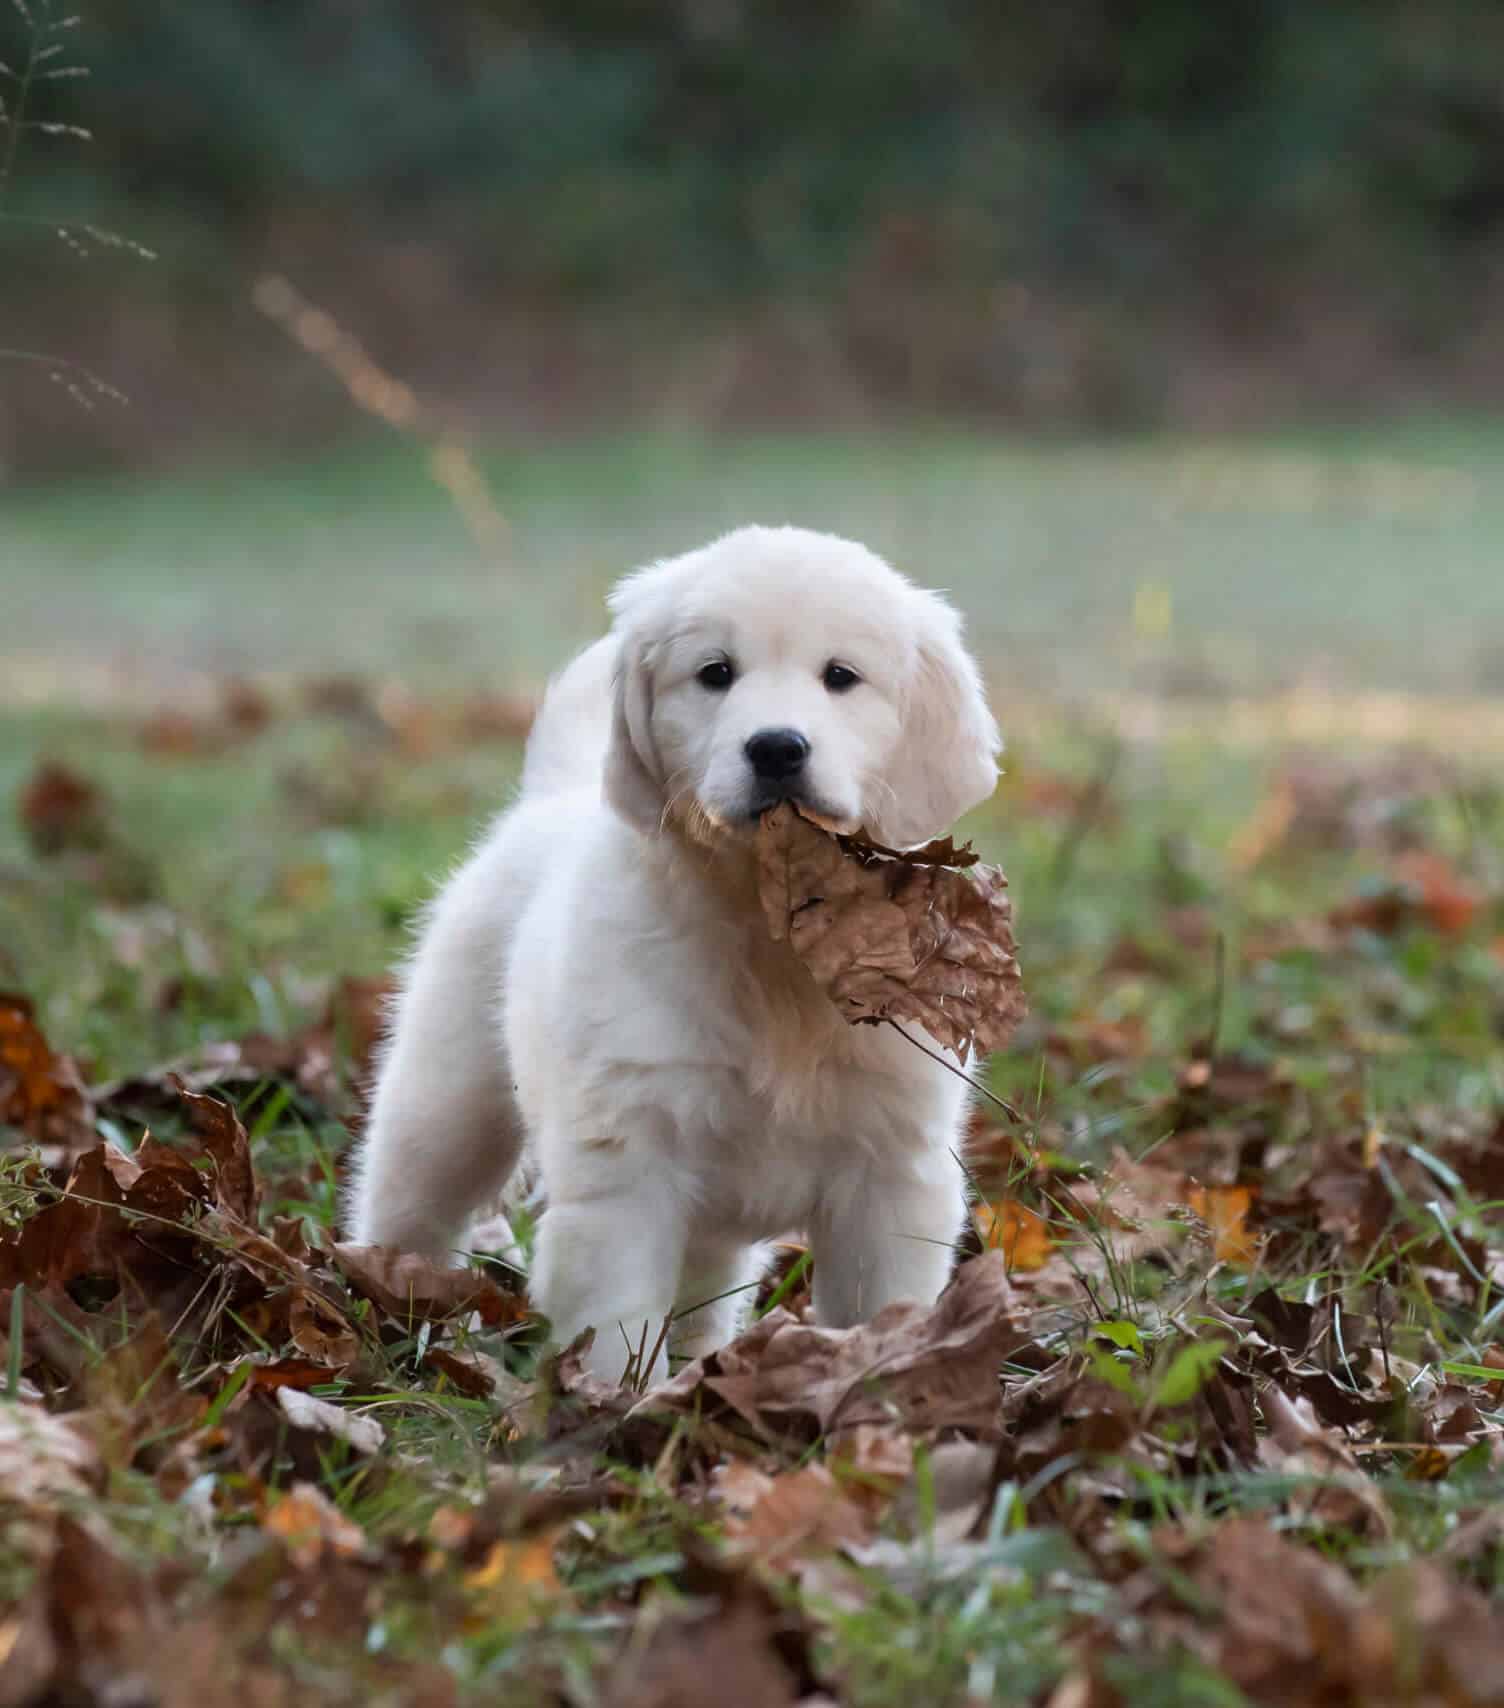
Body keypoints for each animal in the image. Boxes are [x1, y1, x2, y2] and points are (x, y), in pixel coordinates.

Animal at [348, 526, 1003, 1380]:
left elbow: (876, 1310)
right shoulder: (628, 1161)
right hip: (448, 1098)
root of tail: (545, 800)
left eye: (841, 677)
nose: (777, 748)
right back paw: (383, 1307)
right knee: (408, 1199)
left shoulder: (893, 1171)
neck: (768, 937)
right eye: (714, 674)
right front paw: (614, 1402)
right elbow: (618, 1321)